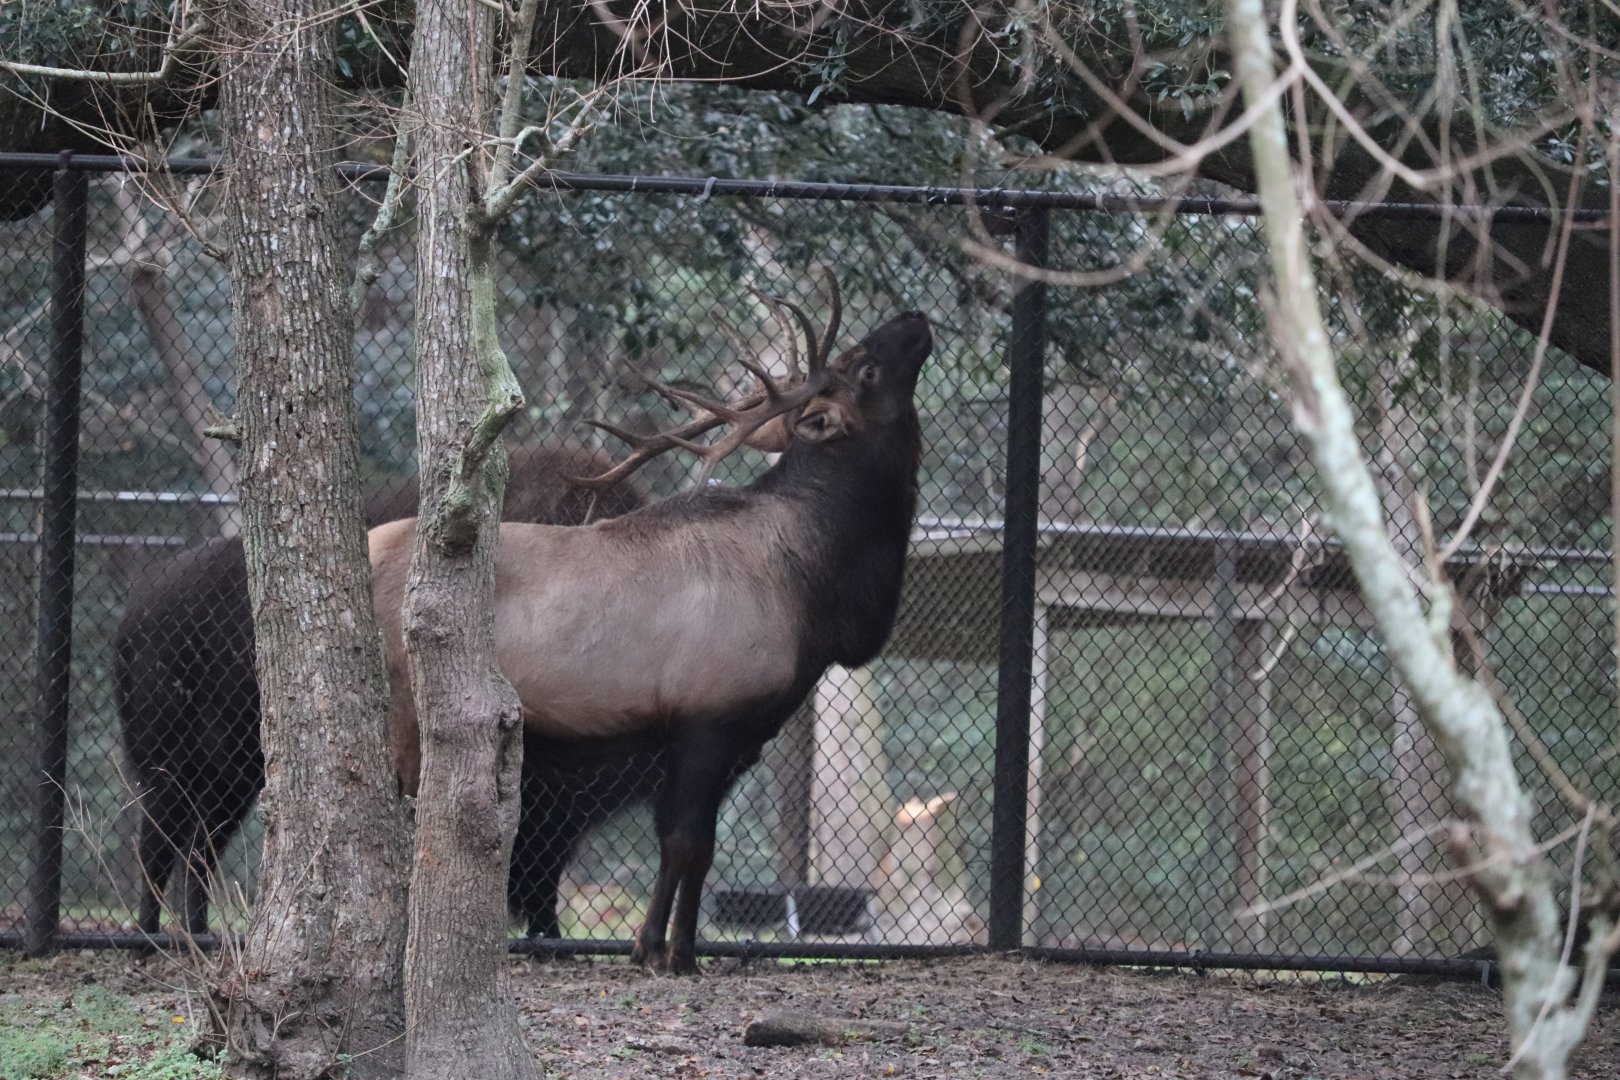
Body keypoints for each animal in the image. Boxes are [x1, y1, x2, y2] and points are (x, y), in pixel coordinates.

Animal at [368, 281, 932, 973]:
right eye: (866, 366)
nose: (915, 315)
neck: (814, 591)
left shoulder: (730, 737)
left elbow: (695, 848)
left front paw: (665, 946)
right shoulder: (708, 718)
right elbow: (687, 843)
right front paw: (668, 954)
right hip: (406, 712)